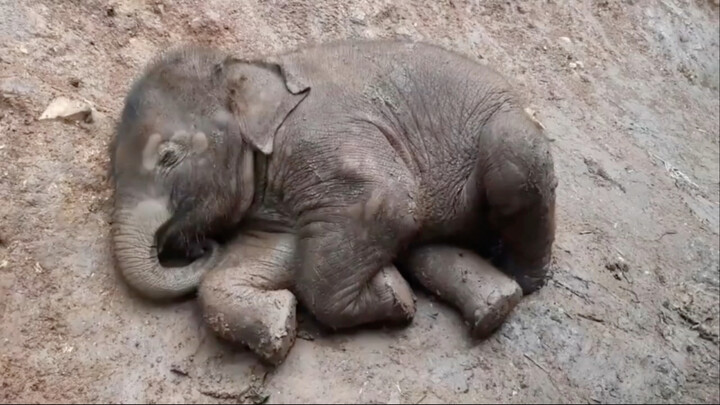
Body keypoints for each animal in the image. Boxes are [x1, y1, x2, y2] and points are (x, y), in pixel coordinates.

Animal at [108, 39, 557, 350]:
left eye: (168, 156)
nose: (198, 246)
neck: (254, 69)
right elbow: (261, 256)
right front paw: (282, 328)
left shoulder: (323, 136)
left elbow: (387, 201)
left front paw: (396, 298)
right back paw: (495, 304)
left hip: (508, 137)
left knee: (514, 163)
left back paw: (522, 280)